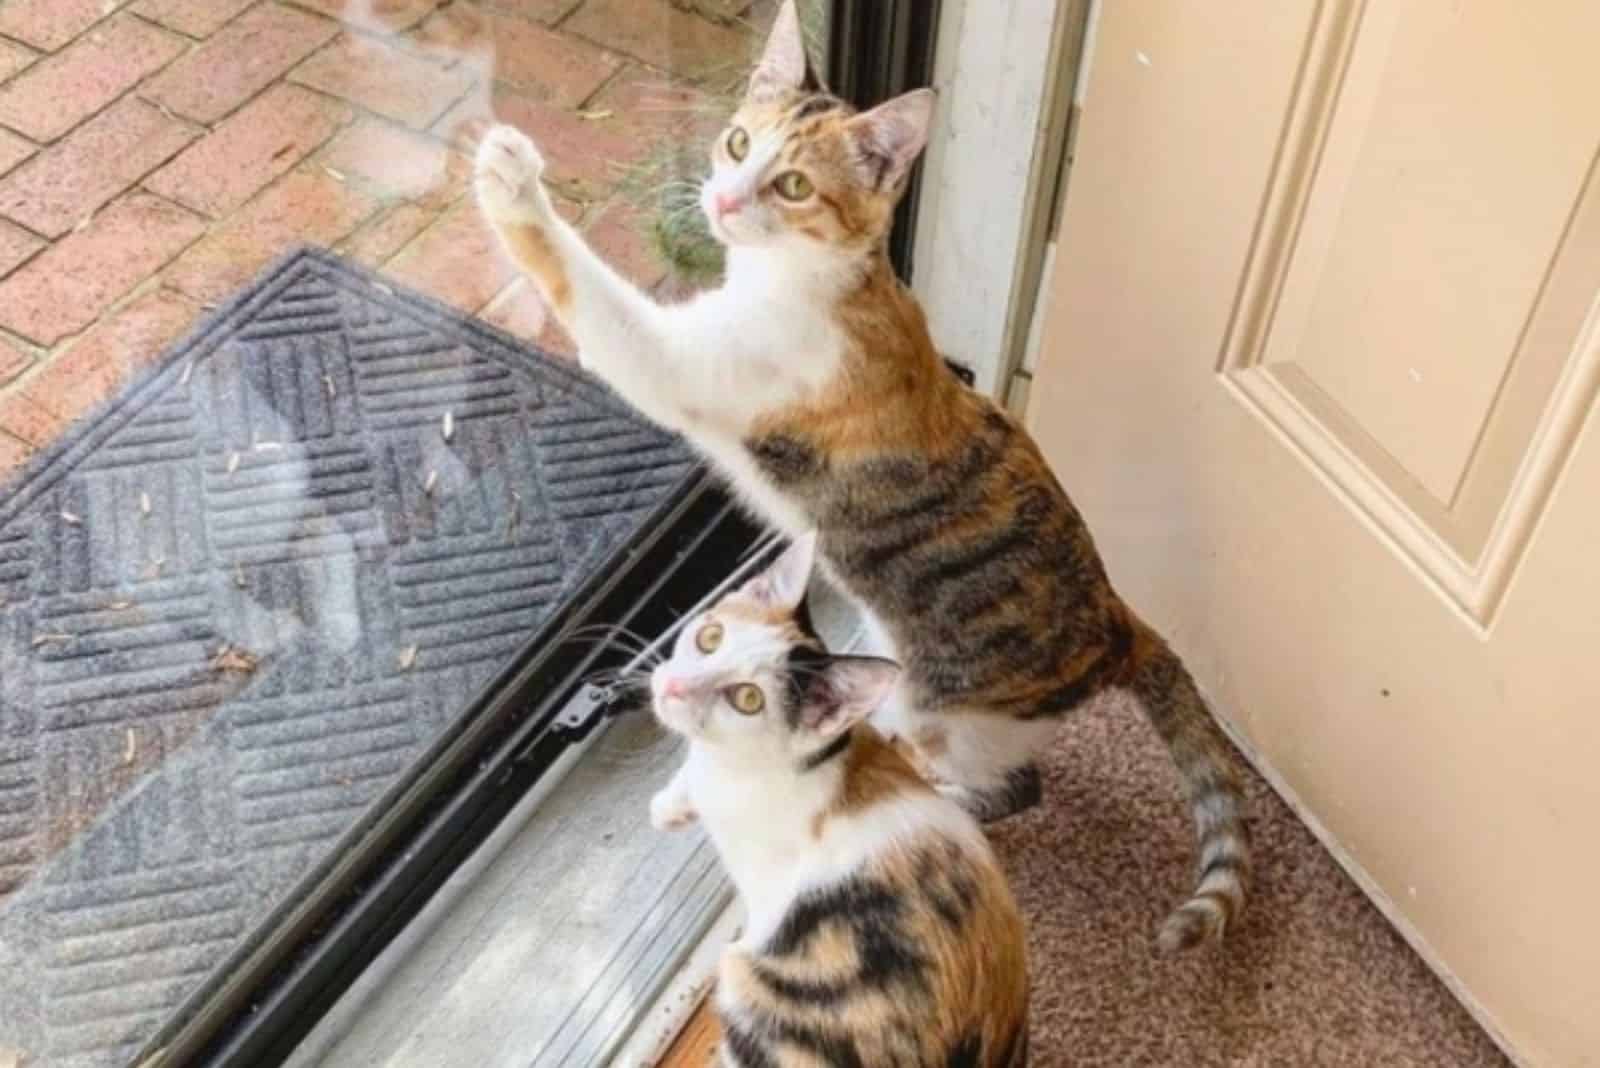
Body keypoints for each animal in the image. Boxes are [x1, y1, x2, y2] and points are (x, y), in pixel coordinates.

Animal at [473, 0, 1248, 952]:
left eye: (794, 186)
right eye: (737, 142)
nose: (723, 199)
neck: (811, 277)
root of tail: (1121, 621)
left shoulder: (683, 361)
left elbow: (595, 298)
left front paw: (510, 181)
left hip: (946, 710)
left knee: (1013, 787)